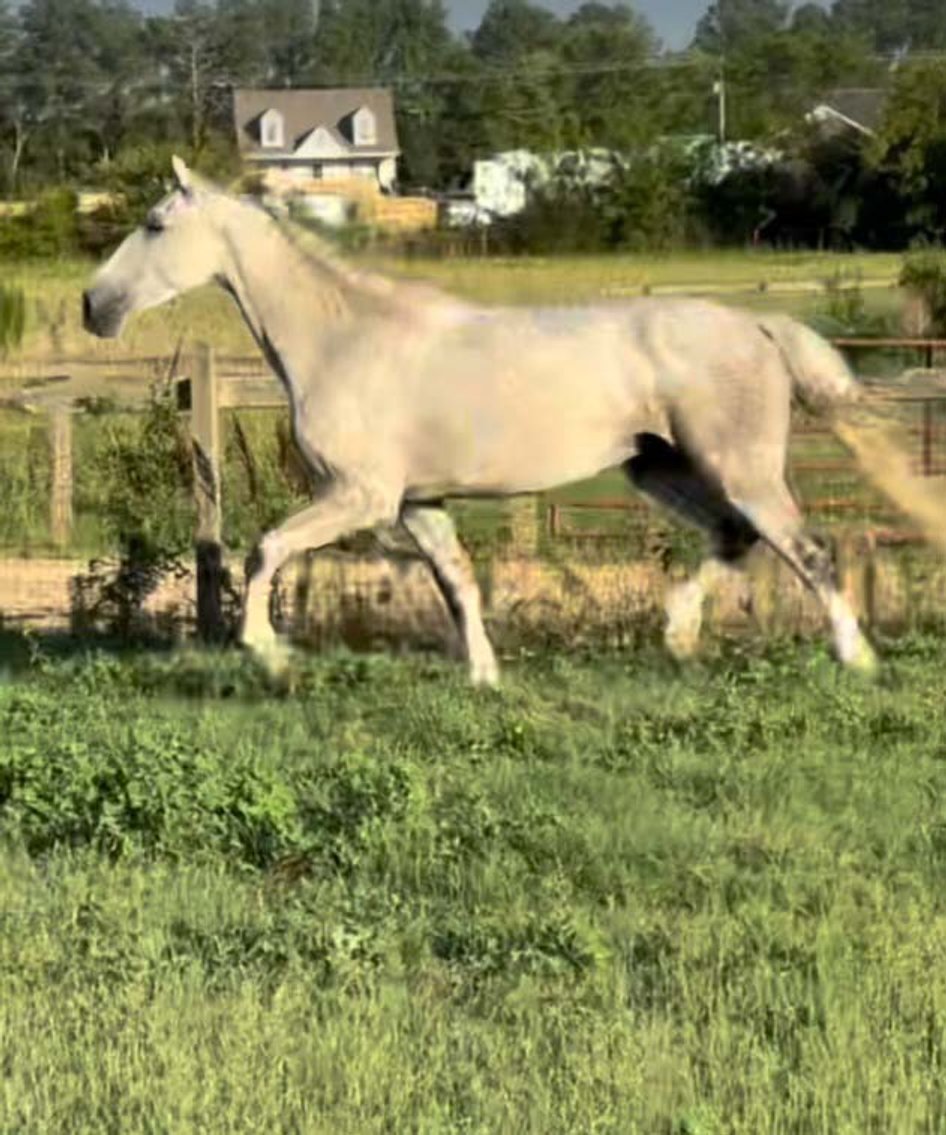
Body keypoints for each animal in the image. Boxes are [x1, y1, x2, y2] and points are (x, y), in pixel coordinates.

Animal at [82, 157, 946, 685]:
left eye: (155, 224)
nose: (95, 305)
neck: (344, 338)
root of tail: (759, 326)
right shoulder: (417, 503)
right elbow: (458, 582)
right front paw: (484, 676)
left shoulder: (359, 496)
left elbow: (264, 548)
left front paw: (266, 650)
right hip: (657, 465)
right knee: (735, 539)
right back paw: (677, 635)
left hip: (740, 467)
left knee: (806, 550)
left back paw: (855, 658)